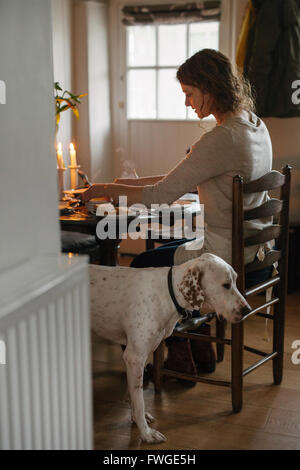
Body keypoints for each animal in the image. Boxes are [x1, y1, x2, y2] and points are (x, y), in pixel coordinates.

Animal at [89, 253, 251, 444]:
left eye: (236, 280)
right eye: (226, 285)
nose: (248, 310)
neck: (166, 294)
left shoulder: (139, 357)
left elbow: (135, 396)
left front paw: (137, 419)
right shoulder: (134, 357)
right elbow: (139, 400)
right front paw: (146, 433)